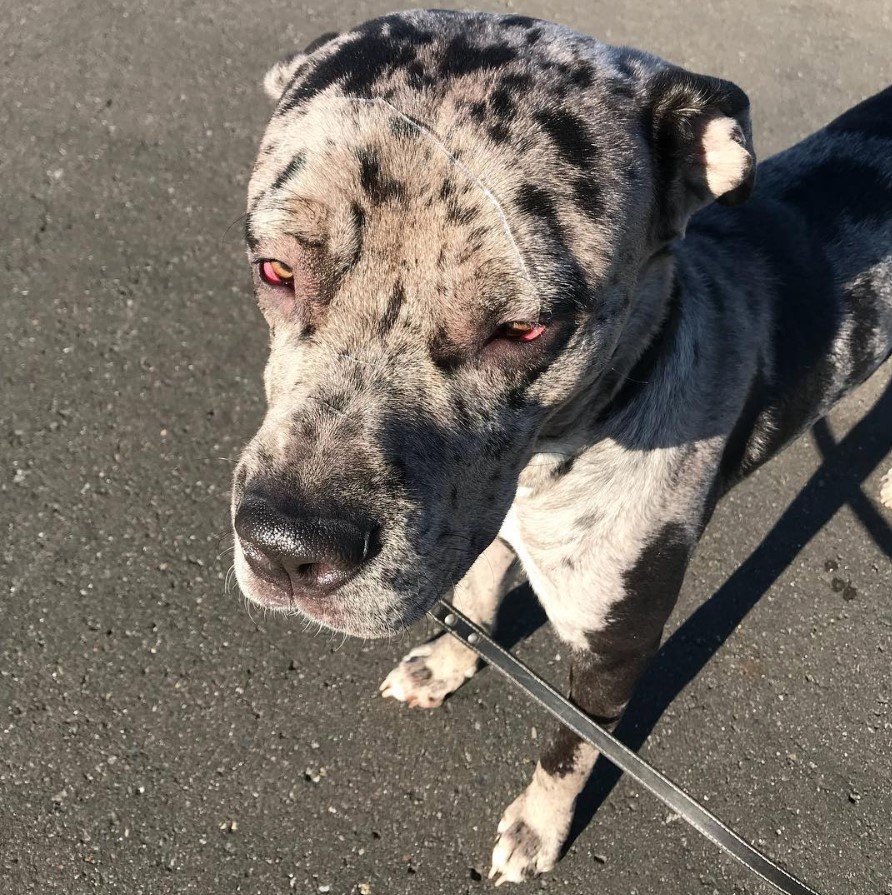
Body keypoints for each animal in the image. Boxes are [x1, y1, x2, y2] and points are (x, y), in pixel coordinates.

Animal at [232, 10, 892, 884]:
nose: (287, 547)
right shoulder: (473, 521)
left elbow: (568, 751)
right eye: (273, 269)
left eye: (524, 329)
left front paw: (537, 828)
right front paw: (447, 662)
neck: (555, 453)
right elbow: (477, 590)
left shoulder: (615, 655)